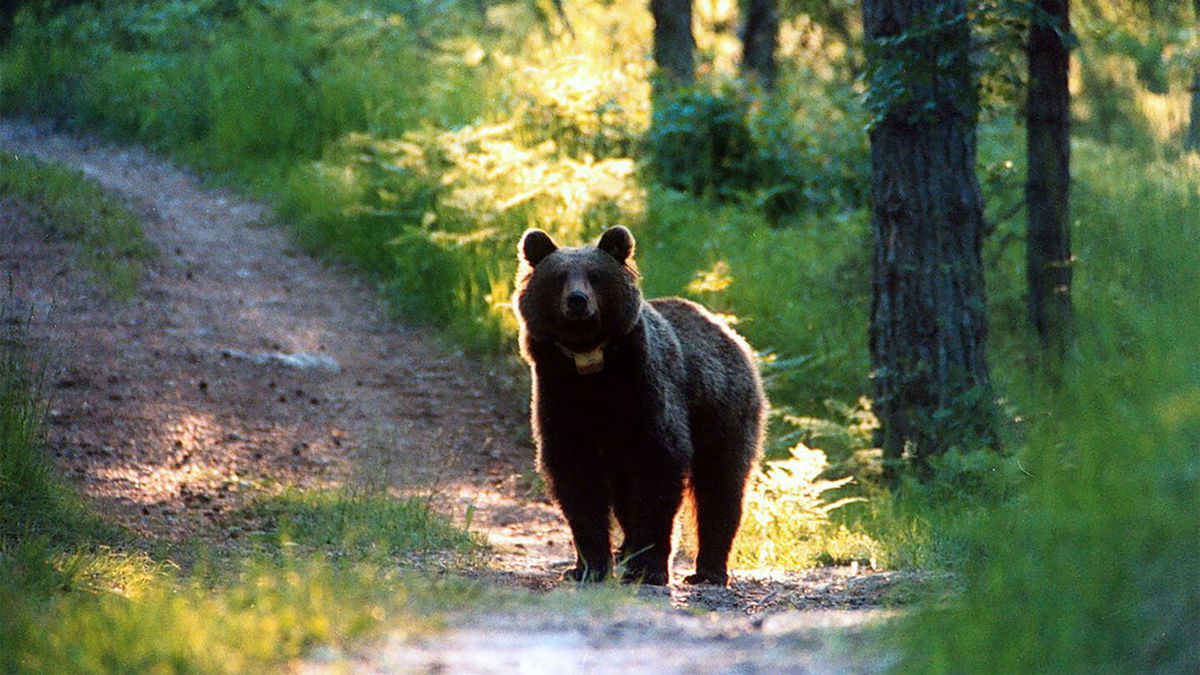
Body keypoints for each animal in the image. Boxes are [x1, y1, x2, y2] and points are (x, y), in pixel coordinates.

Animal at [511, 224, 763, 583]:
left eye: (595, 275)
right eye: (559, 277)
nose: (577, 301)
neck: (591, 367)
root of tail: (726, 330)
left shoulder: (645, 394)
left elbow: (658, 468)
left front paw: (648, 567)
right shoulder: (560, 398)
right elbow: (577, 481)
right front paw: (588, 566)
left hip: (723, 409)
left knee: (721, 484)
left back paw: (709, 569)